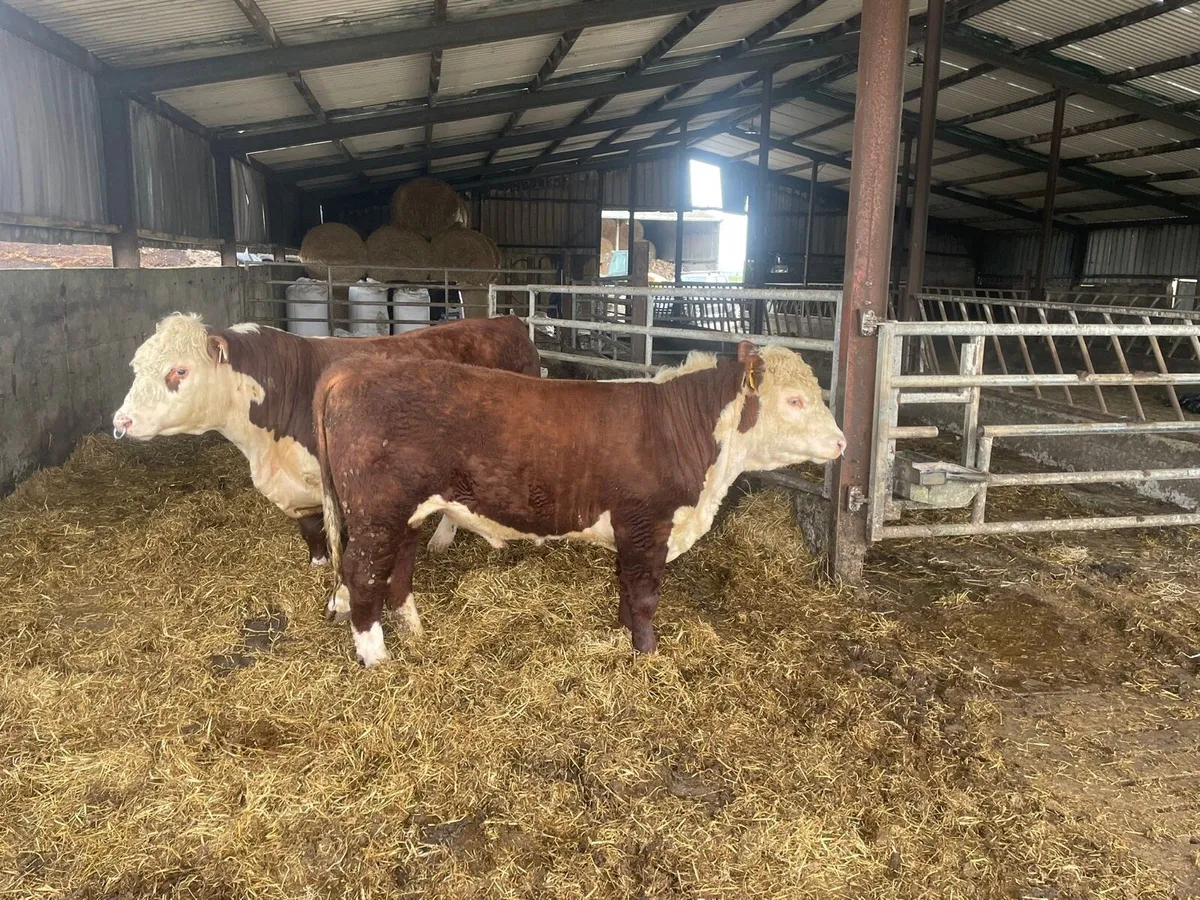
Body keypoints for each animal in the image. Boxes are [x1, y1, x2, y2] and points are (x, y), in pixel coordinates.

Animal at [112, 312, 541, 567]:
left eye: (179, 370)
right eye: (135, 367)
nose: (122, 420)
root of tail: (505, 319)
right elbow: (311, 528)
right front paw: (318, 562)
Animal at [314, 341, 846, 667]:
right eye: (795, 400)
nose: (842, 442)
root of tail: (353, 367)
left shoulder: (634, 532)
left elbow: (628, 589)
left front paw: (625, 635)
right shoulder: (648, 524)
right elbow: (646, 594)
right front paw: (648, 652)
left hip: (405, 512)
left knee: (398, 569)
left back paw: (414, 629)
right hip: (377, 513)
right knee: (363, 575)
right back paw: (377, 656)